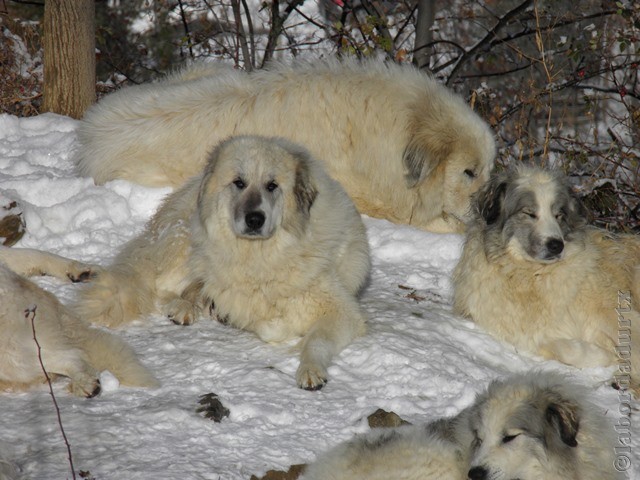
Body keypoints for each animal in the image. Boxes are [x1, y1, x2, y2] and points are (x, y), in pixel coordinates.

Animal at [74, 135, 370, 390]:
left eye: (272, 185)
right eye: (239, 183)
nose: (255, 219)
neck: (258, 258)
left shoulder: (342, 312)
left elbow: (315, 341)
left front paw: (310, 370)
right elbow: (270, 326)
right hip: (190, 243)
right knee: (159, 286)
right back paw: (183, 306)